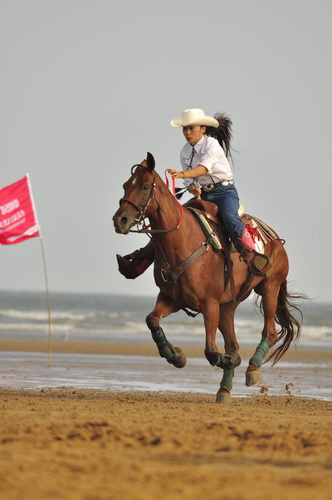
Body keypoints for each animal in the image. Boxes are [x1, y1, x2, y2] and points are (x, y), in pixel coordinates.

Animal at [113, 151, 302, 402]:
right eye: (126, 185)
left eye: (144, 186)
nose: (120, 220)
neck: (182, 241)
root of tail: (273, 237)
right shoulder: (173, 299)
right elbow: (152, 320)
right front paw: (176, 355)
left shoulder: (209, 303)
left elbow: (211, 351)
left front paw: (227, 361)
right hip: (228, 305)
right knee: (233, 343)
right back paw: (224, 390)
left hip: (269, 287)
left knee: (269, 333)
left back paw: (252, 369)